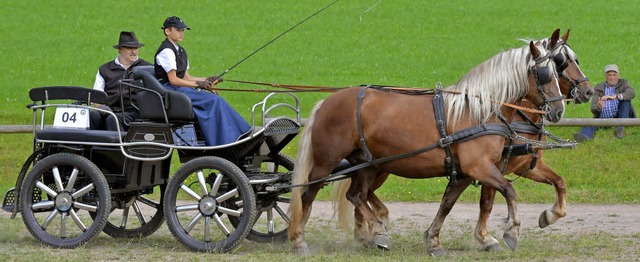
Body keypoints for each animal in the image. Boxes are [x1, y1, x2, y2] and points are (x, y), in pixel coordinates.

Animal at [332, 28, 592, 256]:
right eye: (560, 62)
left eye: (571, 60)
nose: (588, 92)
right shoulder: (487, 168)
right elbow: (488, 202)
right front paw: (489, 238)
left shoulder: (520, 166)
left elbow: (559, 182)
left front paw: (549, 216)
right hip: (378, 167)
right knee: (360, 194)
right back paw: (370, 232)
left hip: (377, 167)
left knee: (362, 193)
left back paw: (368, 232)